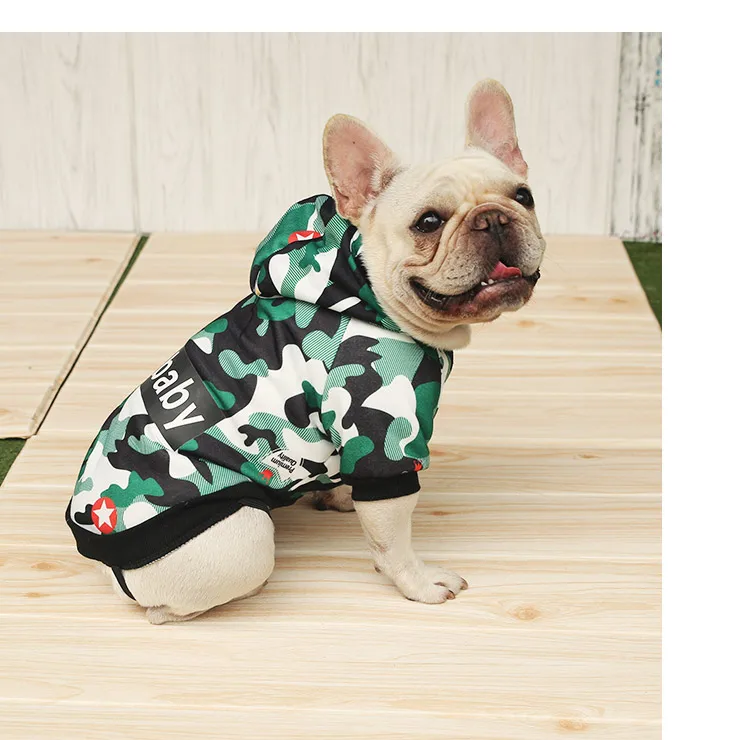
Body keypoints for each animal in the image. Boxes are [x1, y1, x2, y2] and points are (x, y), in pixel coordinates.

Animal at [65, 79, 545, 624]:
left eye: (524, 197)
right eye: (427, 222)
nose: (493, 219)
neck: (368, 296)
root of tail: (105, 563)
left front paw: (338, 492)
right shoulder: (385, 440)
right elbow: (393, 541)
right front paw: (420, 584)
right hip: (244, 538)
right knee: (168, 606)